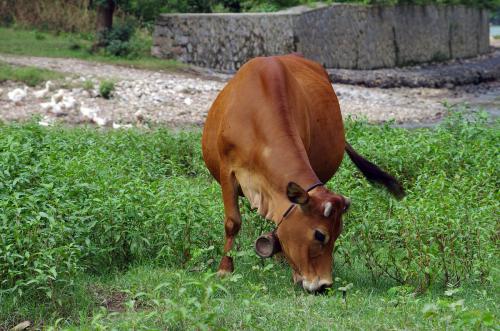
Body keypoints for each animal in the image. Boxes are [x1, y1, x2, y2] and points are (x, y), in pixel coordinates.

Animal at [201, 53, 404, 294]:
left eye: (338, 233)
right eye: (320, 234)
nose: (324, 285)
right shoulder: (227, 171)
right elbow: (232, 222)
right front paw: (225, 269)